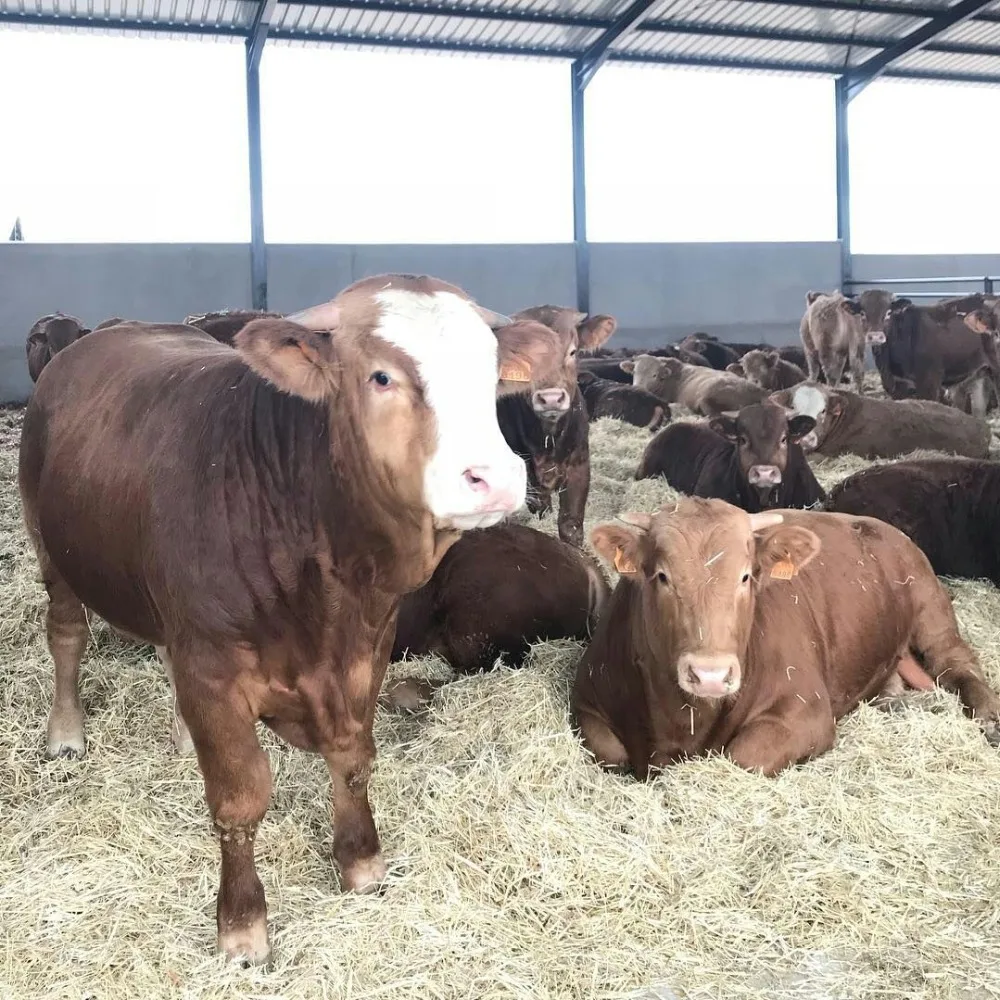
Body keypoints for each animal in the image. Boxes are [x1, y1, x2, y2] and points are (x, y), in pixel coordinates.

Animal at [19, 274, 533, 964]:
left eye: (491, 372)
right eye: (380, 377)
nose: (494, 478)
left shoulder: (366, 651)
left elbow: (353, 758)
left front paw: (361, 861)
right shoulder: (213, 669)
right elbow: (240, 798)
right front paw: (242, 924)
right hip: (51, 547)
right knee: (67, 635)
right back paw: (67, 731)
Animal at [572, 498, 1000, 779]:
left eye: (746, 576)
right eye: (662, 576)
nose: (710, 675)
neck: (681, 721)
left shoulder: (806, 712)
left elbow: (743, 756)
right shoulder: (587, 701)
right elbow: (611, 753)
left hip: (931, 609)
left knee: (959, 663)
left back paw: (989, 717)